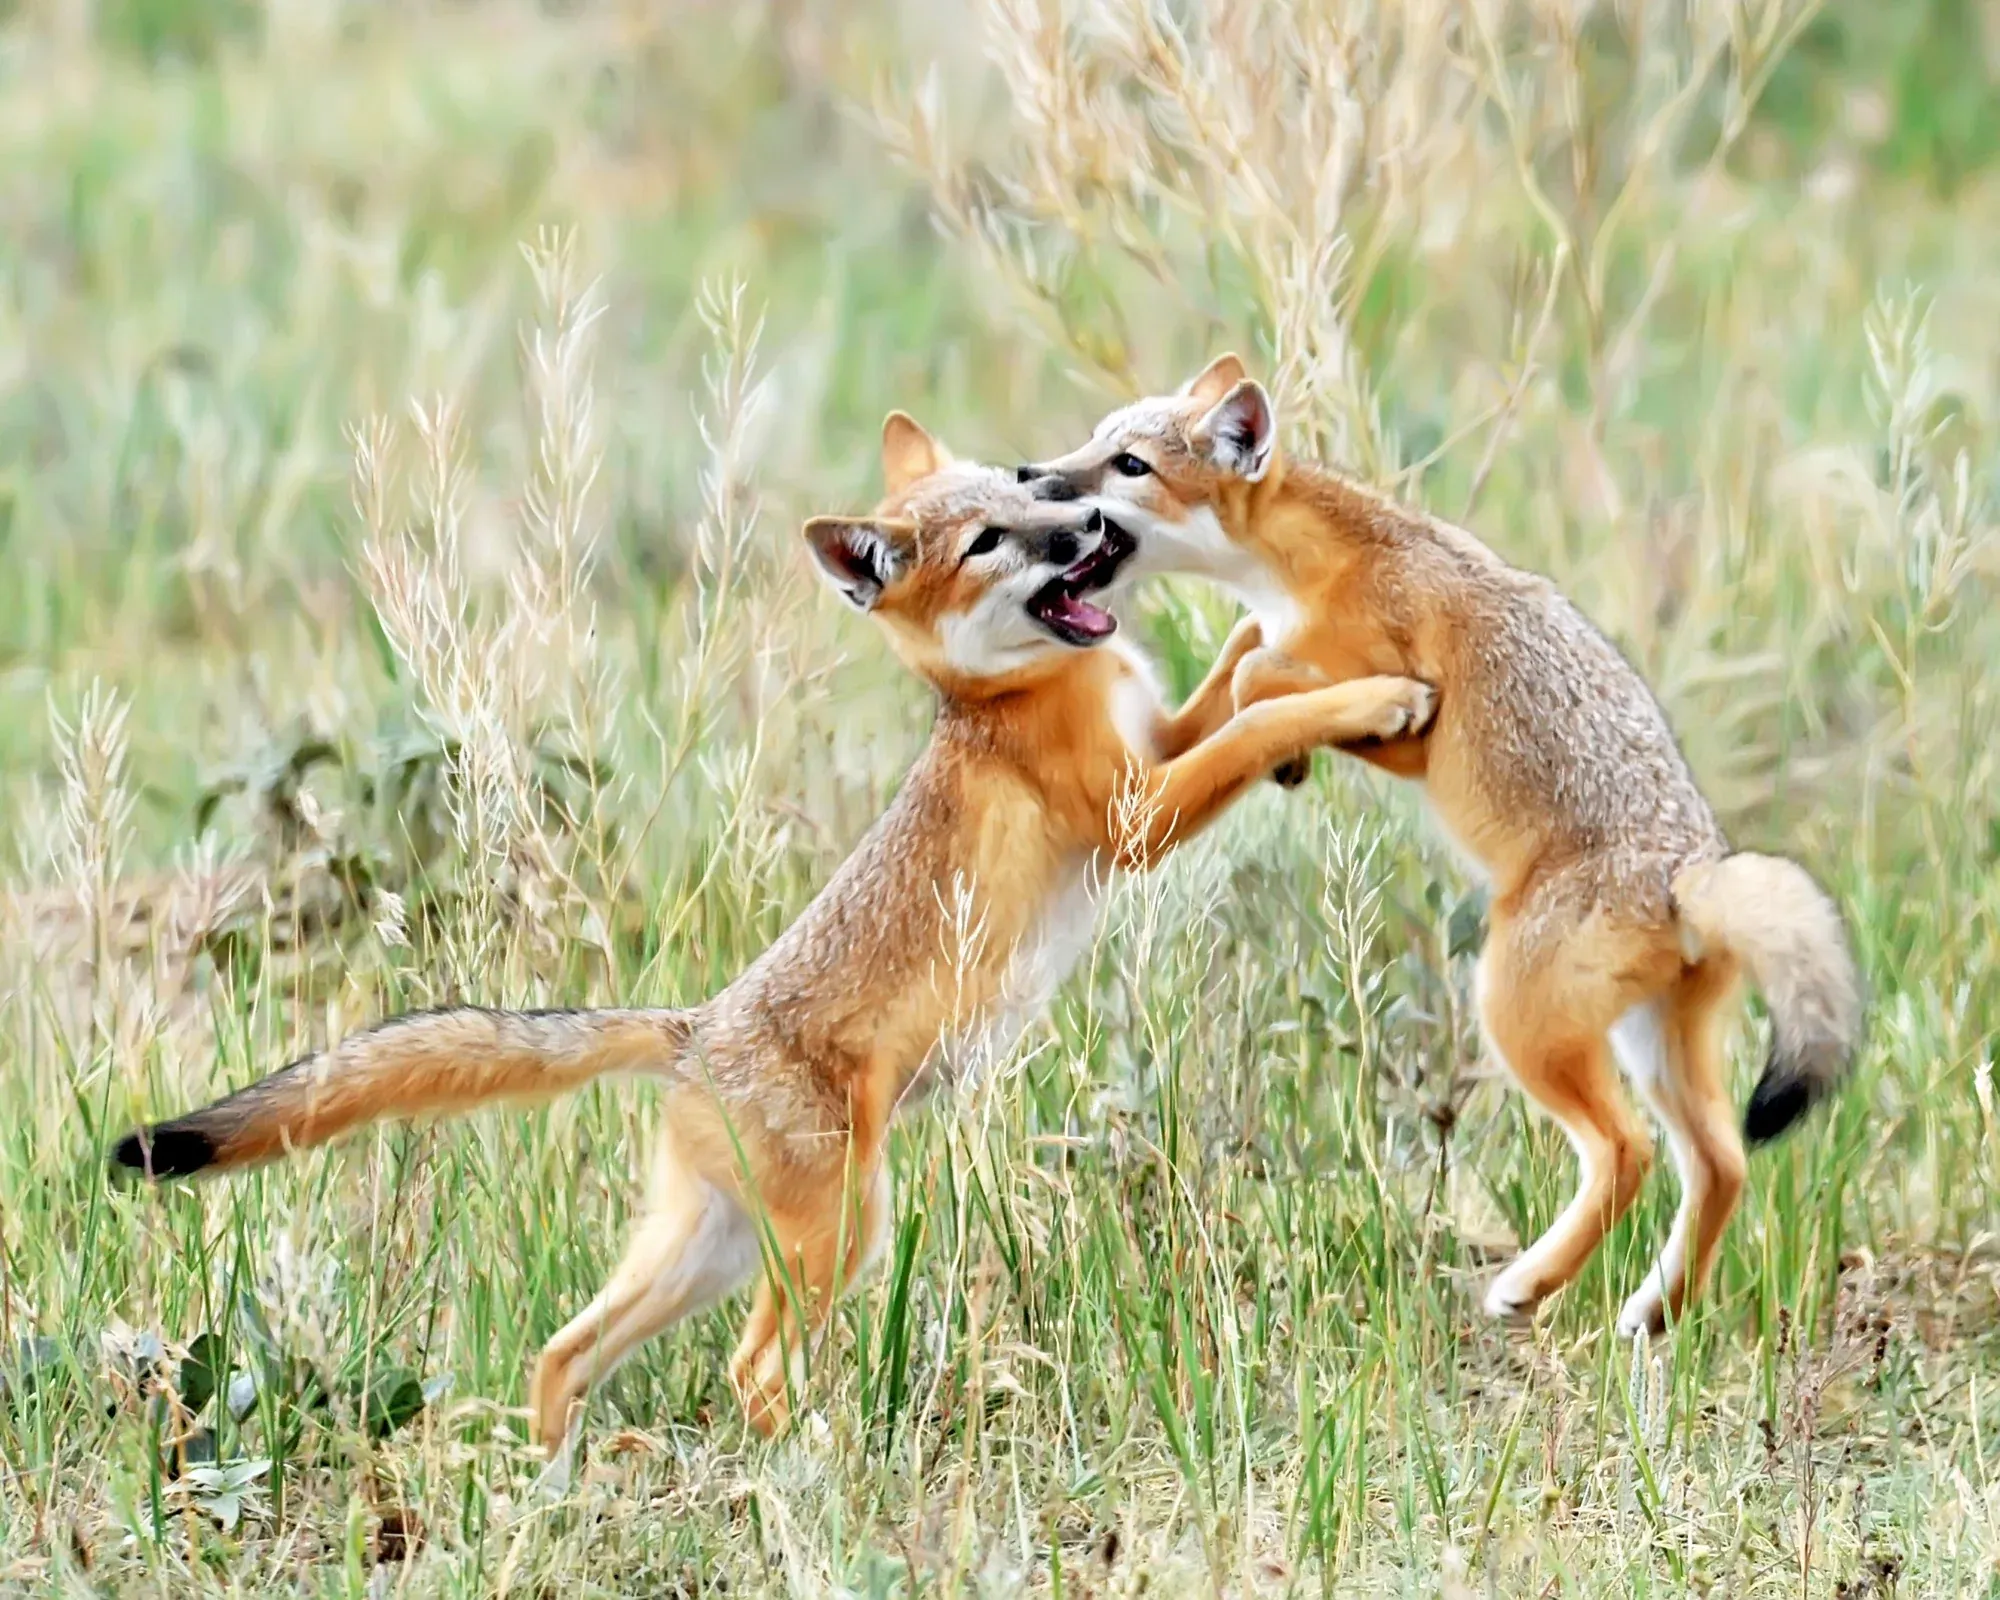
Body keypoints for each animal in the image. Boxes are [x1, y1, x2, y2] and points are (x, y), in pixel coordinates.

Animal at [112, 412, 1436, 1448]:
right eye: (989, 542)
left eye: (1025, 491)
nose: (1086, 531)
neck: (1008, 694)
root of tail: (697, 1027)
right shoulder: (1133, 816)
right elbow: (1252, 727)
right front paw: (1370, 696)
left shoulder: (1153, 745)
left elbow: (1233, 687)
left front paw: (1289, 653)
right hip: (836, 1240)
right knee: (749, 1373)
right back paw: (824, 1464)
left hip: (711, 1251)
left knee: (563, 1349)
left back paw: (554, 1485)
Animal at [1018, 355, 1863, 1337]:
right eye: (1090, 443)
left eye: (1129, 465)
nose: (1031, 473)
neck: (1321, 562)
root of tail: (1691, 872)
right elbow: (1253, 658)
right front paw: (1288, 748)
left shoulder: (1417, 720)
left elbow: (1267, 670)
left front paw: (1291, 730)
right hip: (1650, 1048)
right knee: (1721, 1160)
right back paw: (1652, 1314)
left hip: (1518, 1018)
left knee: (1629, 1151)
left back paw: (1526, 1286)